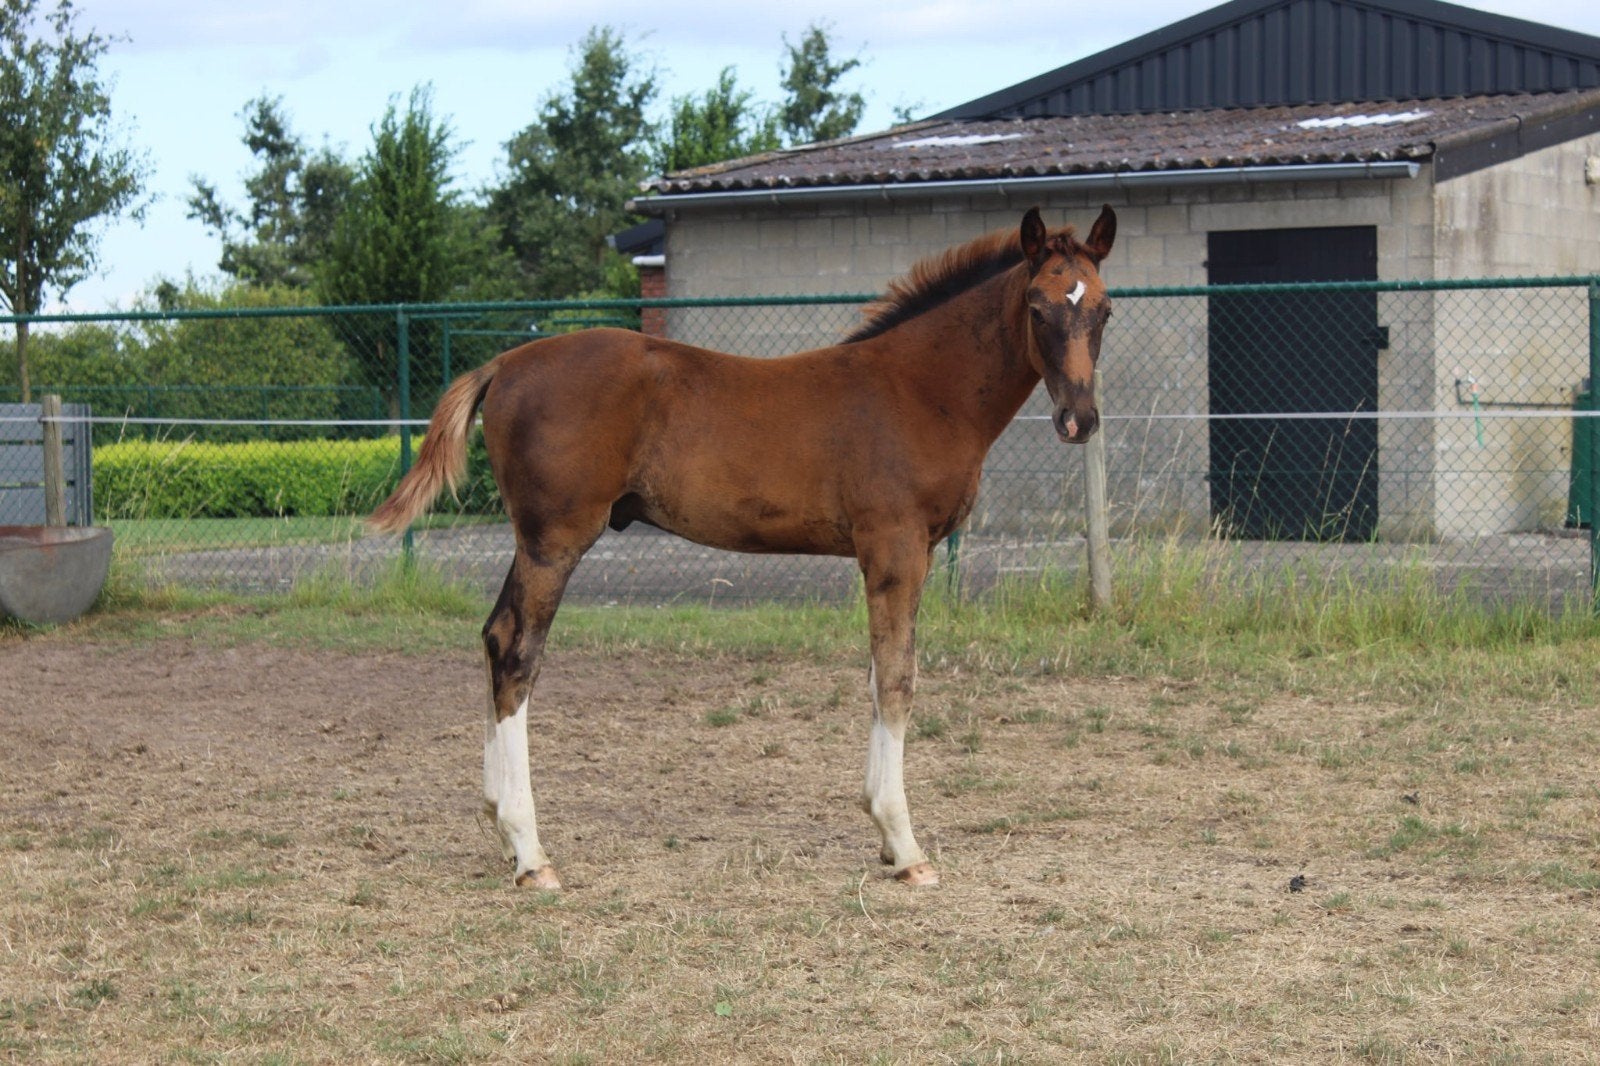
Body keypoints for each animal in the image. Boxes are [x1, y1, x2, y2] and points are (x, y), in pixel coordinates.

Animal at [370, 204, 1117, 889]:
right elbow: (898, 680)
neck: (919, 391)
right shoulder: (896, 548)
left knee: (496, 636)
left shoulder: (903, 555)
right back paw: (532, 855)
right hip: (554, 540)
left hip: (532, 539)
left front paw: (883, 833)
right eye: (1037, 306)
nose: (1079, 419)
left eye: (1104, 310)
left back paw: (500, 827)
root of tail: (504, 362)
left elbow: (878, 676)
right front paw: (906, 847)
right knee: (519, 654)